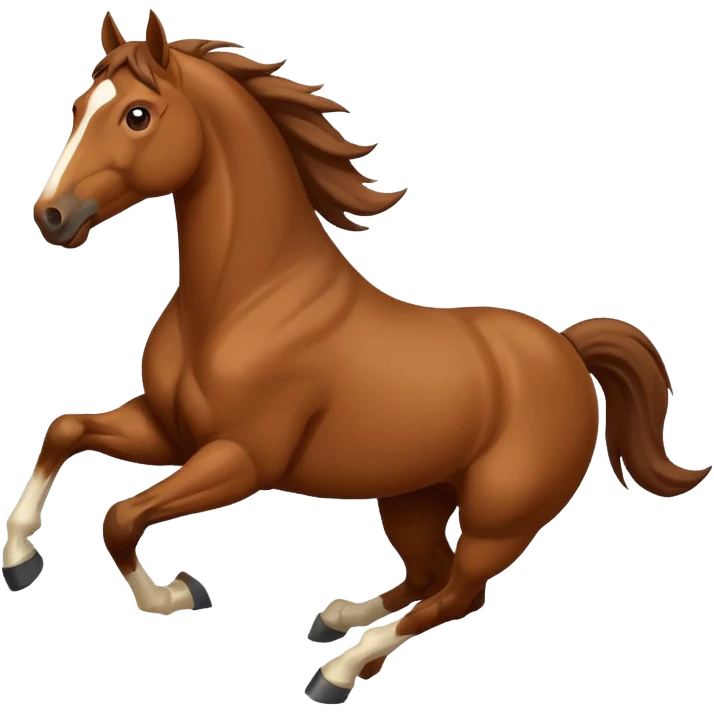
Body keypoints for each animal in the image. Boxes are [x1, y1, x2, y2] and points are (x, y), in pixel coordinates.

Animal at [7, 9, 710, 705]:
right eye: (78, 107)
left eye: (137, 115)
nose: (51, 215)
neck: (247, 300)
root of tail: (566, 347)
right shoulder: (170, 430)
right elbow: (65, 432)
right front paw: (20, 560)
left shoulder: (242, 460)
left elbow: (121, 518)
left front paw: (176, 593)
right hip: (412, 498)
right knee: (430, 575)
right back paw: (338, 617)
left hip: (498, 520)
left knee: (459, 592)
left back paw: (338, 669)